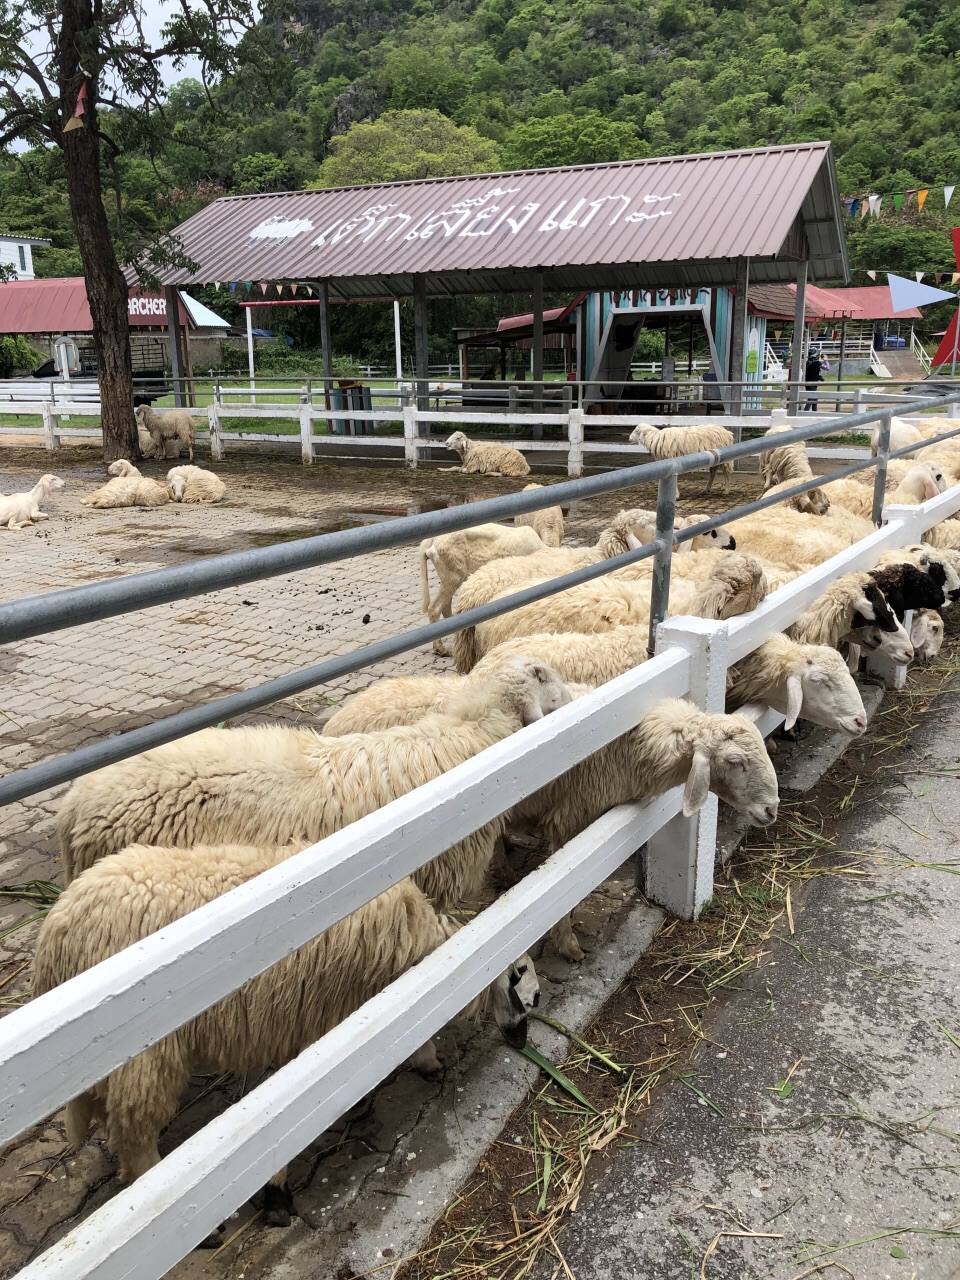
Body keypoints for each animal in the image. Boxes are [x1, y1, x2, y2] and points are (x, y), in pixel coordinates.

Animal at [419, 522, 547, 655]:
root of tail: (433, 539)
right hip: (452, 574)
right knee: (435, 608)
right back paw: (441, 649)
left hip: (449, 576)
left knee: (445, 606)